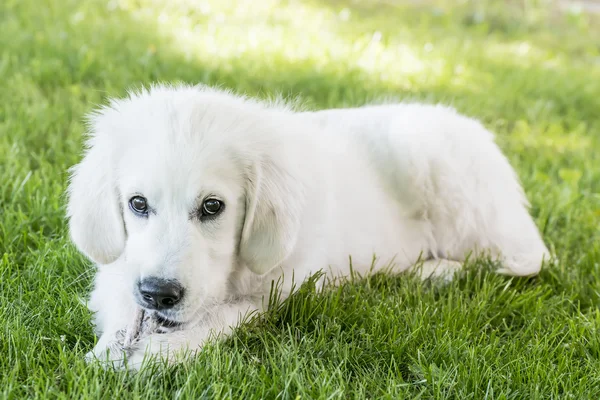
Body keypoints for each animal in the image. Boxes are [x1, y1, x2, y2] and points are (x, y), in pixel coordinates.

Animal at [68, 84, 552, 368]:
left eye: (212, 207)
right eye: (138, 204)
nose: (159, 293)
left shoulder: (285, 289)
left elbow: (228, 314)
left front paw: (160, 351)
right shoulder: (125, 268)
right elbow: (121, 301)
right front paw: (113, 346)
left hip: (445, 176)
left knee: (511, 258)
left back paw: (432, 271)